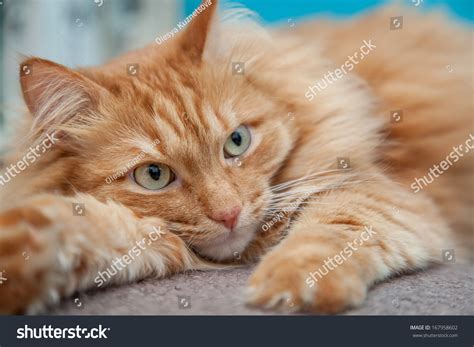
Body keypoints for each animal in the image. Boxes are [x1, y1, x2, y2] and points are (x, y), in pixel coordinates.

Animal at [0, 0, 472, 314]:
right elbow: (97, 229)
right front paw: (27, 258)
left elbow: (332, 230)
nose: (229, 214)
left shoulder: (371, 190)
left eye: (237, 142)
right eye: (153, 175)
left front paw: (294, 286)